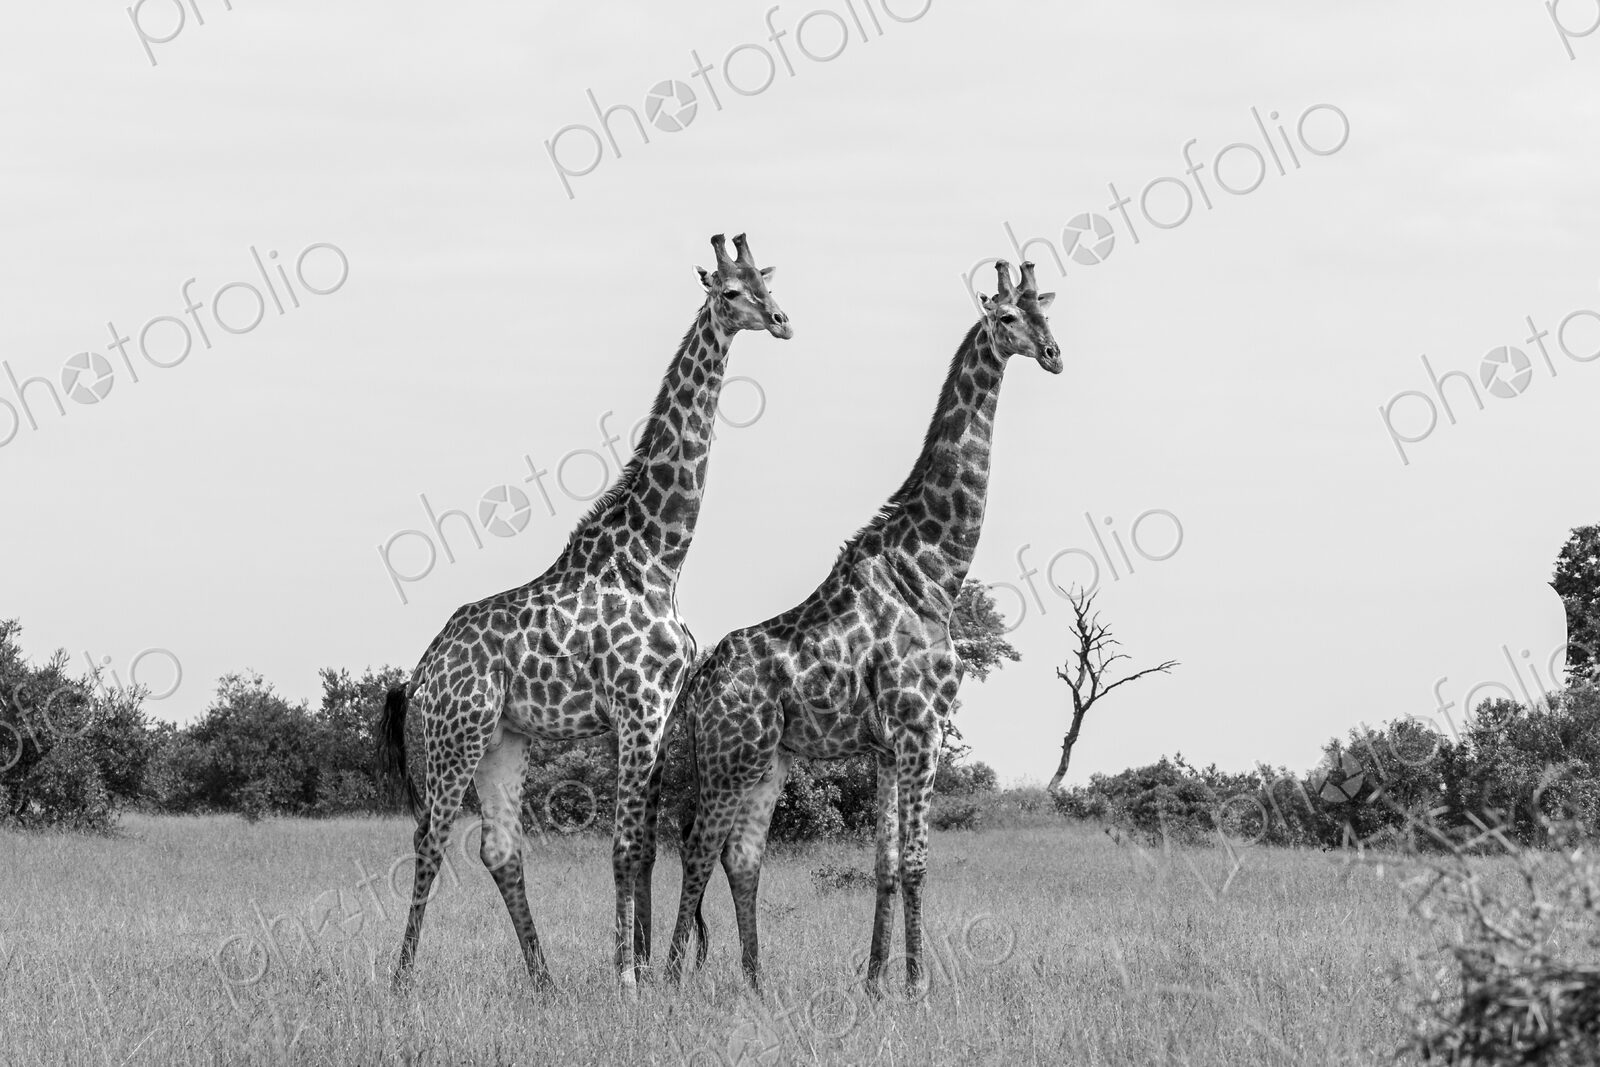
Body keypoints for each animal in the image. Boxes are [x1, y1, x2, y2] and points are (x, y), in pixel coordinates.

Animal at [376, 233, 791, 995]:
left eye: (767, 282)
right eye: (730, 292)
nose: (781, 320)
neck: (659, 559)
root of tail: (419, 673)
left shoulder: (660, 712)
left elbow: (646, 847)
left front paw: (644, 969)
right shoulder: (637, 707)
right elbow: (625, 846)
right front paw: (627, 976)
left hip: (504, 741)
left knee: (501, 849)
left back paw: (544, 982)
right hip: (455, 735)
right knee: (429, 840)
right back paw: (401, 980)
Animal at [663, 260, 1060, 994]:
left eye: (1047, 311)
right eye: (1007, 318)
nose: (1053, 354)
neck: (934, 570)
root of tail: (698, 686)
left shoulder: (884, 747)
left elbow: (884, 863)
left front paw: (875, 980)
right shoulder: (921, 728)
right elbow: (916, 861)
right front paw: (918, 985)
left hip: (769, 759)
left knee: (742, 853)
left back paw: (756, 983)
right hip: (733, 754)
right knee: (699, 845)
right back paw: (670, 978)